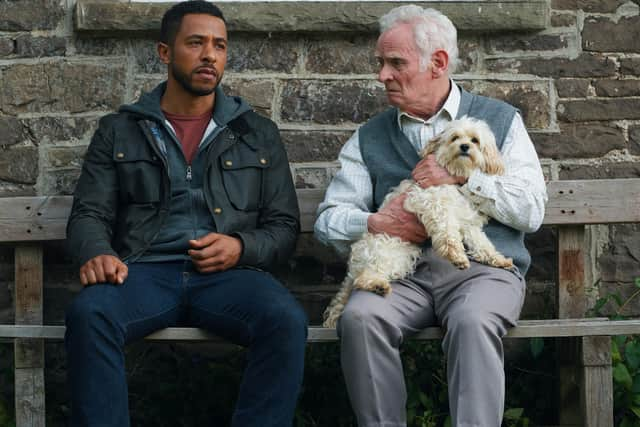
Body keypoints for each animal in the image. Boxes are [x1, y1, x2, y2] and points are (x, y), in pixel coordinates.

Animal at [322, 115, 512, 330]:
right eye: (455, 138)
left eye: (475, 140)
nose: (464, 146)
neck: (454, 177)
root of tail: (354, 266)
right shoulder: (432, 202)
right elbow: (447, 232)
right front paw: (456, 255)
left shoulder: (467, 222)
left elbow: (483, 244)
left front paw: (498, 259)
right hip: (390, 251)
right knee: (364, 278)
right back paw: (378, 285)